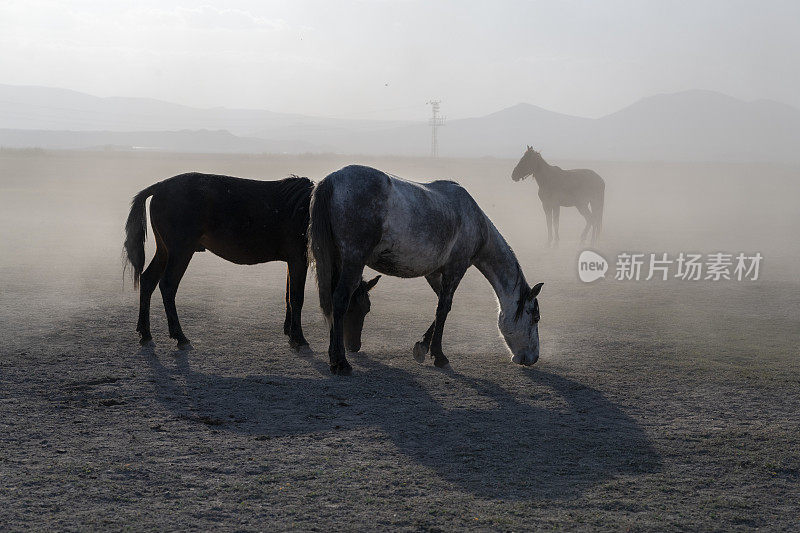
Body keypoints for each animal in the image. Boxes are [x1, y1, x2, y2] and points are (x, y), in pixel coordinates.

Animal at [122, 172, 378, 352]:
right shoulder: (299, 260)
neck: (312, 213)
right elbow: (297, 298)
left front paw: (289, 332)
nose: (354, 347)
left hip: (165, 250)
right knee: (167, 286)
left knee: (148, 281)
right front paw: (299, 338)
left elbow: (288, 296)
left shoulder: (292, 261)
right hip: (180, 251)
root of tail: (159, 187)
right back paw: (179, 336)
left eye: (367, 309)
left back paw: (145, 333)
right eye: (352, 308)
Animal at [306, 164, 544, 376]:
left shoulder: (434, 273)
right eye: (535, 318)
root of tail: (332, 180)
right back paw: (341, 363)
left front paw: (422, 348)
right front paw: (439, 356)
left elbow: (440, 307)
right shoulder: (455, 269)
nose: (533, 358)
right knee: (339, 300)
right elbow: (444, 308)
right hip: (353, 261)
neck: (473, 219)